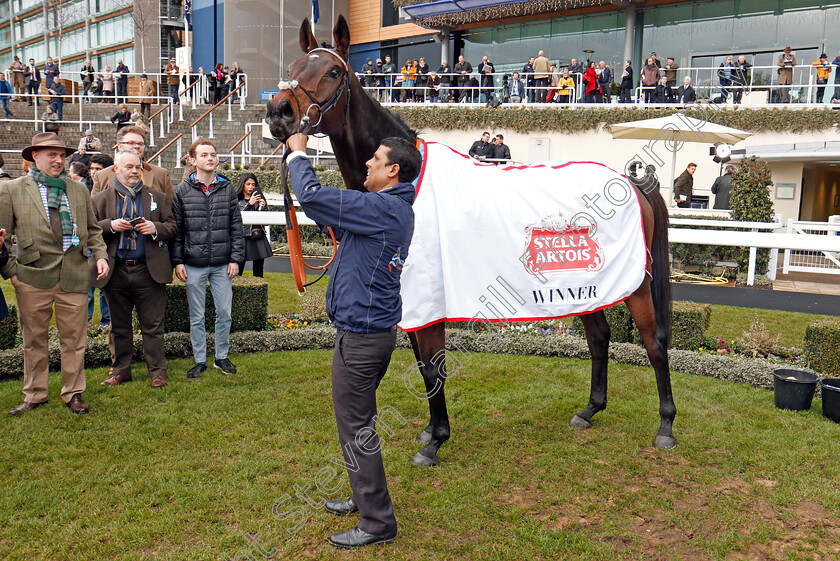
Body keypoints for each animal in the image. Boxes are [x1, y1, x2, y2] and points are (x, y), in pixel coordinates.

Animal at [266, 15, 680, 466]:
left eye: (333, 71)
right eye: (292, 67)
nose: (279, 112)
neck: (410, 184)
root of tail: (632, 183)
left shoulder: (430, 297)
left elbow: (432, 366)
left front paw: (435, 441)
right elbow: (421, 363)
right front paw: (430, 430)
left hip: (635, 285)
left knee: (654, 342)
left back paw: (665, 426)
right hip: (585, 285)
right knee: (599, 337)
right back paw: (589, 409)